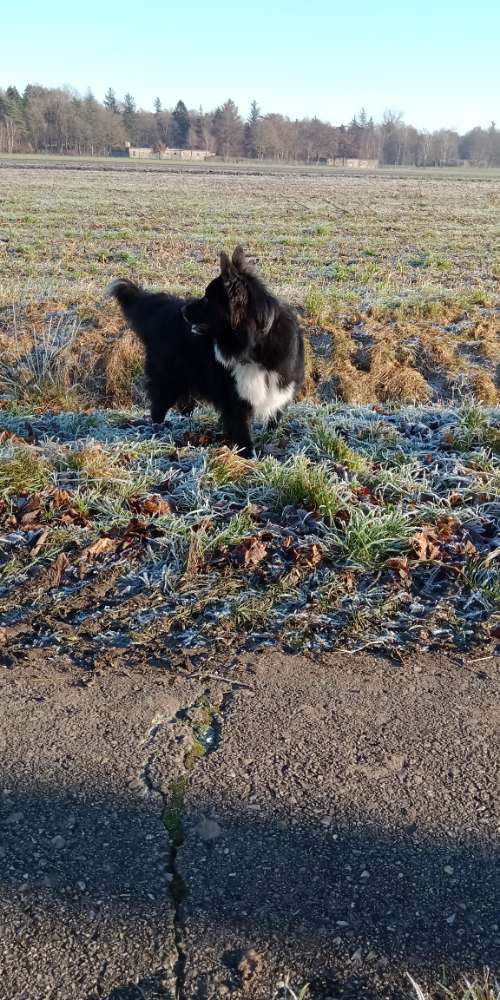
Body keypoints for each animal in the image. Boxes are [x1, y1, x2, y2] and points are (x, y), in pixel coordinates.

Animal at [107, 246, 302, 458]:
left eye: (208, 299)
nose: (184, 311)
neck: (254, 347)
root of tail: (165, 310)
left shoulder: (279, 389)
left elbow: (273, 420)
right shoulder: (235, 399)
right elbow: (242, 432)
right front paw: (249, 457)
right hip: (169, 378)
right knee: (158, 407)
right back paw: (158, 431)